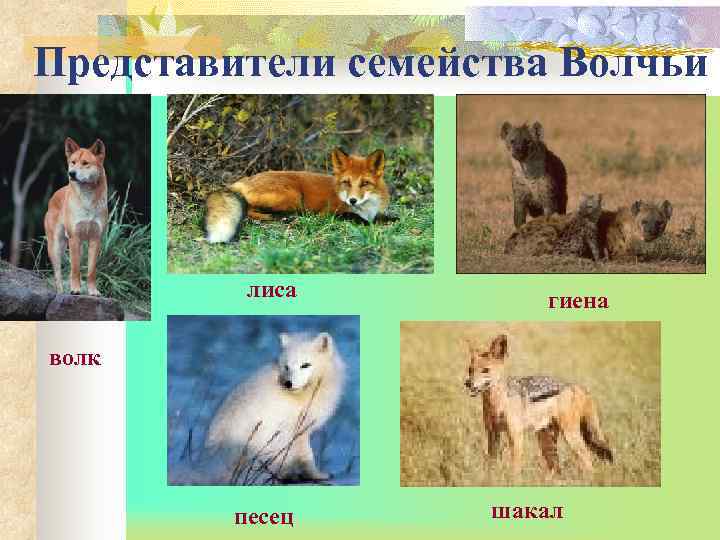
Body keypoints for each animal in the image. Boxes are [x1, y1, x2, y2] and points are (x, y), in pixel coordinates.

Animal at [43, 137, 108, 296]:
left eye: (85, 163)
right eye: (73, 162)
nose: (71, 173)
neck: (87, 200)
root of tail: (53, 196)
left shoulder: (95, 239)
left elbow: (91, 271)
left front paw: (93, 291)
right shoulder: (74, 237)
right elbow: (75, 269)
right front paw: (75, 289)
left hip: (78, 245)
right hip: (56, 247)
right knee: (58, 273)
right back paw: (61, 292)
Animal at [204, 148, 390, 243]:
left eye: (365, 183)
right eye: (347, 182)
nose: (352, 200)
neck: (366, 208)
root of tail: (244, 180)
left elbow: (386, 217)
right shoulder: (329, 213)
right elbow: (357, 218)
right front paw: (368, 223)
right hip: (292, 196)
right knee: (250, 210)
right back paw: (281, 217)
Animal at [205, 332, 345, 483]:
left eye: (305, 365)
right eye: (287, 366)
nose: (288, 383)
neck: (301, 395)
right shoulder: (297, 430)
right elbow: (307, 456)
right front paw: (317, 475)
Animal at [463, 334, 613, 475]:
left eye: (485, 370)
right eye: (470, 370)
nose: (468, 383)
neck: (496, 404)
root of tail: (575, 386)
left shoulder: (515, 436)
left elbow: (515, 469)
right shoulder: (492, 434)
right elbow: (491, 463)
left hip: (570, 436)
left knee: (587, 460)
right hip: (546, 442)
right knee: (557, 469)